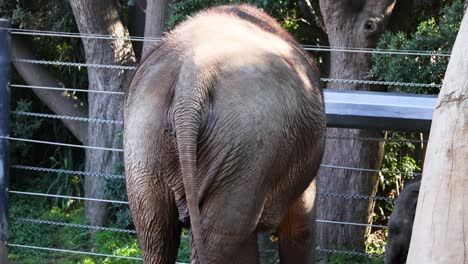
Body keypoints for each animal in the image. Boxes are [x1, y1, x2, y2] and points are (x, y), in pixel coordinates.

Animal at [123, 4, 326, 264]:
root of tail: (192, 76)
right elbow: (300, 227)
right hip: (246, 152)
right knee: (220, 238)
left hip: (144, 144)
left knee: (155, 234)